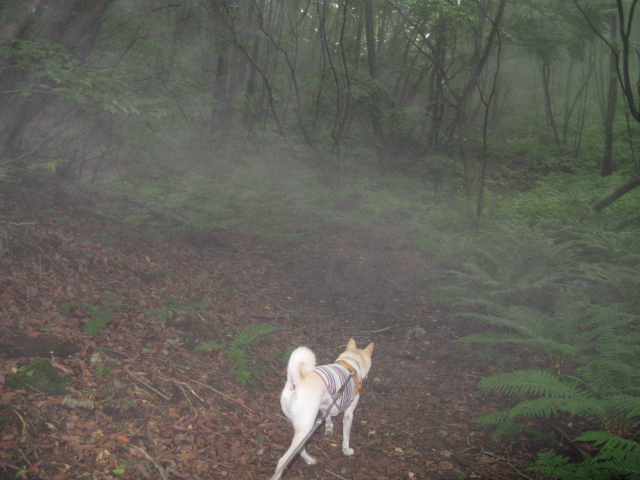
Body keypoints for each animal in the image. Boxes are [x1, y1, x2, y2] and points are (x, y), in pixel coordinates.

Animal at [273, 338, 374, 479]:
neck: (351, 364)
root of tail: (296, 383)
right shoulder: (349, 414)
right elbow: (346, 437)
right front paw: (346, 450)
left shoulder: (326, 406)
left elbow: (328, 418)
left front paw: (329, 428)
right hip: (306, 428)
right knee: (283, 461)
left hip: (301, 427)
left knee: (299, 449)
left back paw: (309, 460)